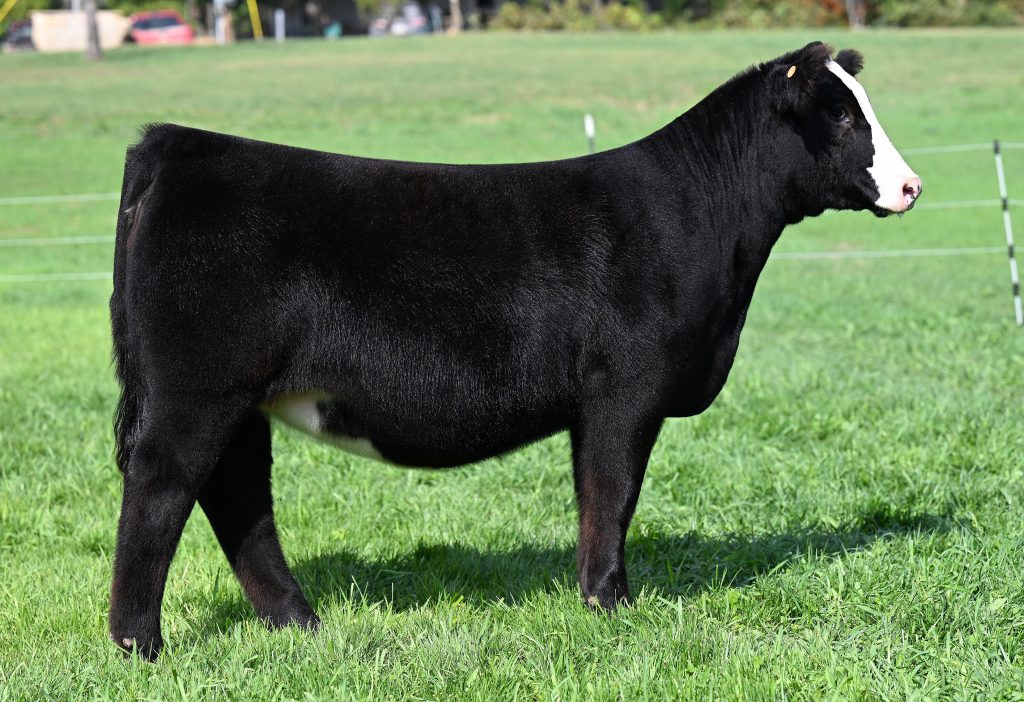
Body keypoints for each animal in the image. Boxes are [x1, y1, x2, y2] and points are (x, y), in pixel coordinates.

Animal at [108, 41, 921, 659]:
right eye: (840, 114)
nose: (912, 185)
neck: (703, 221)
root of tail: (178, 142)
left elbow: (596, 497)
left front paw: (599, 600)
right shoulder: (624, 389)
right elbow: (612, 495)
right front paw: (610, 605)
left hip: (237, 400)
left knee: (237, 495)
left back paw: (298, 623)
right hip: (195, 391)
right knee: (162, 486)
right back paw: (139, 644)